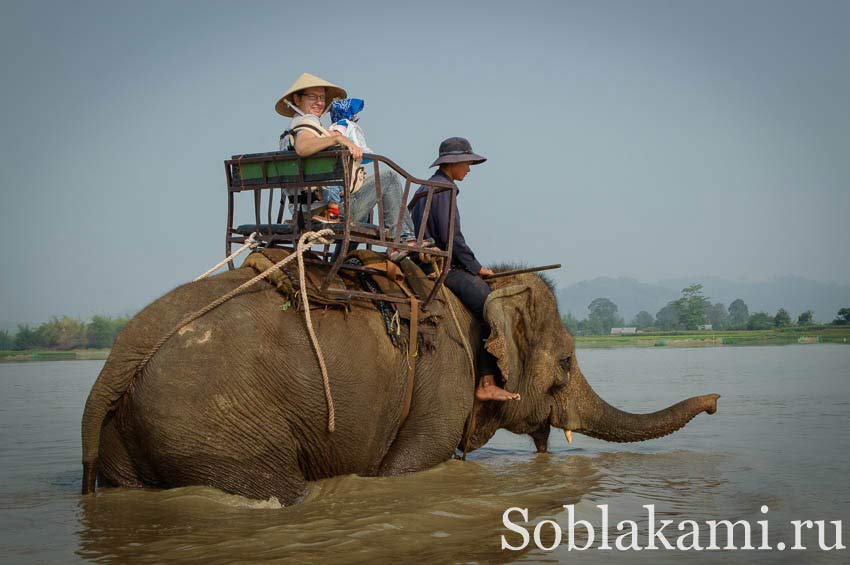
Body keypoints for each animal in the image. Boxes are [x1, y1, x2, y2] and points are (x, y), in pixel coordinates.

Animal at [81, 262, 716, 504]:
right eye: (564, 364)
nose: (714, 401)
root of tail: (118, 360)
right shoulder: (445, 382)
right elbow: (407, 468)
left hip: (131, 443)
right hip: (213, 427)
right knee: (278, 490)